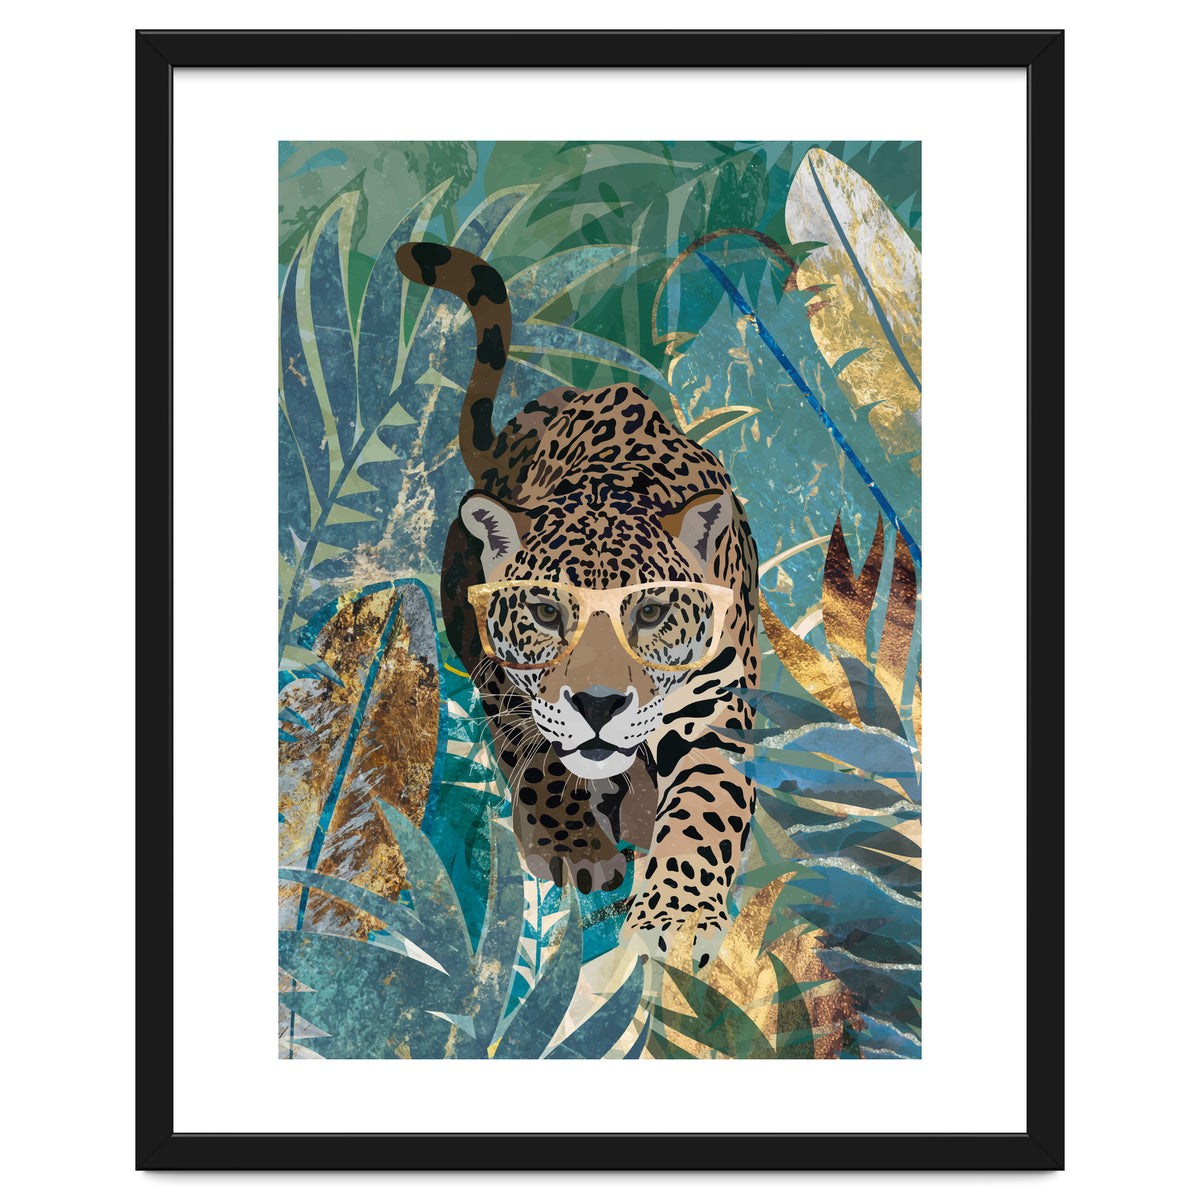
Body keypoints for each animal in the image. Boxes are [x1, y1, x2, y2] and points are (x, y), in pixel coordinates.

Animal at [395, 241, 760, 962]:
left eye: (650, 612)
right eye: (545, 613)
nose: (597, 705)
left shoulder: (716, 709)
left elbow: (705, 808)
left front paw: (675, 918)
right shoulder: (503, 676)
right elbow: (537, 756)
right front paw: (574, 847)